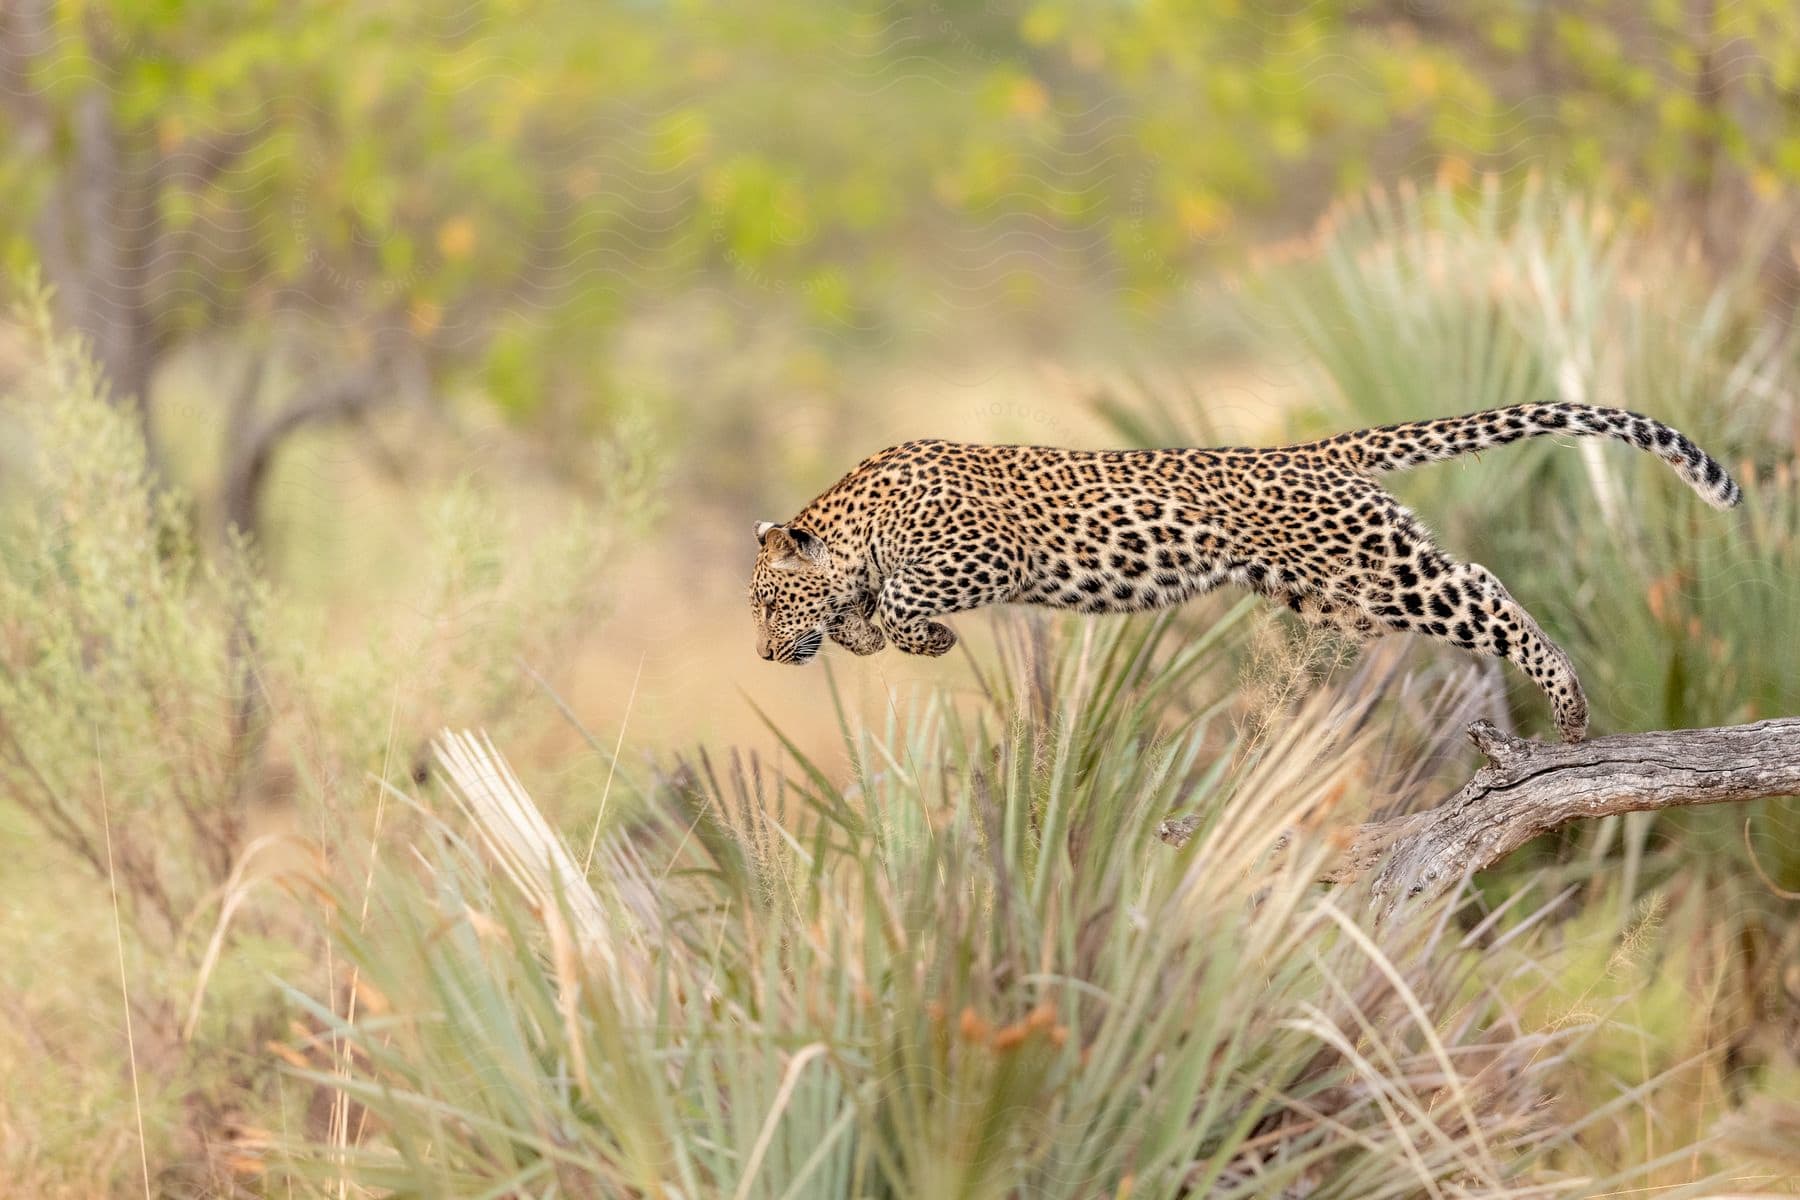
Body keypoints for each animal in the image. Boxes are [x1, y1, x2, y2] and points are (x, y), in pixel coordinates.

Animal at [738, 402, 1735, 741]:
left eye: (766, 604)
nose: (762, 656)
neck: (860, 513)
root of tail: (1316, 451)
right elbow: (866, 618)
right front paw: (866, 632)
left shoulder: (984, 554)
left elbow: (908, 599)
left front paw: (921, 636)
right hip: (1334, 591)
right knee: (1475, 581)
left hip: (1376, 569)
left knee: (1481, 588)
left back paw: (1567, 705)